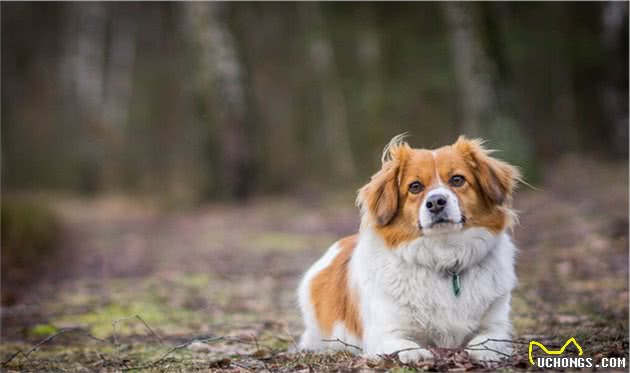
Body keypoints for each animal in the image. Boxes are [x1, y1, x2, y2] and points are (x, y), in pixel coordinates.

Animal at [298, 135, 520, 362]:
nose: (436, 202)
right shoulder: (384, 333)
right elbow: (405, 344)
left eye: (457, 180)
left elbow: (488, 340)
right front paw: (416, 353)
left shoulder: (497, 325)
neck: (444, 256)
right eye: (415, 186)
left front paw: (483, 352)